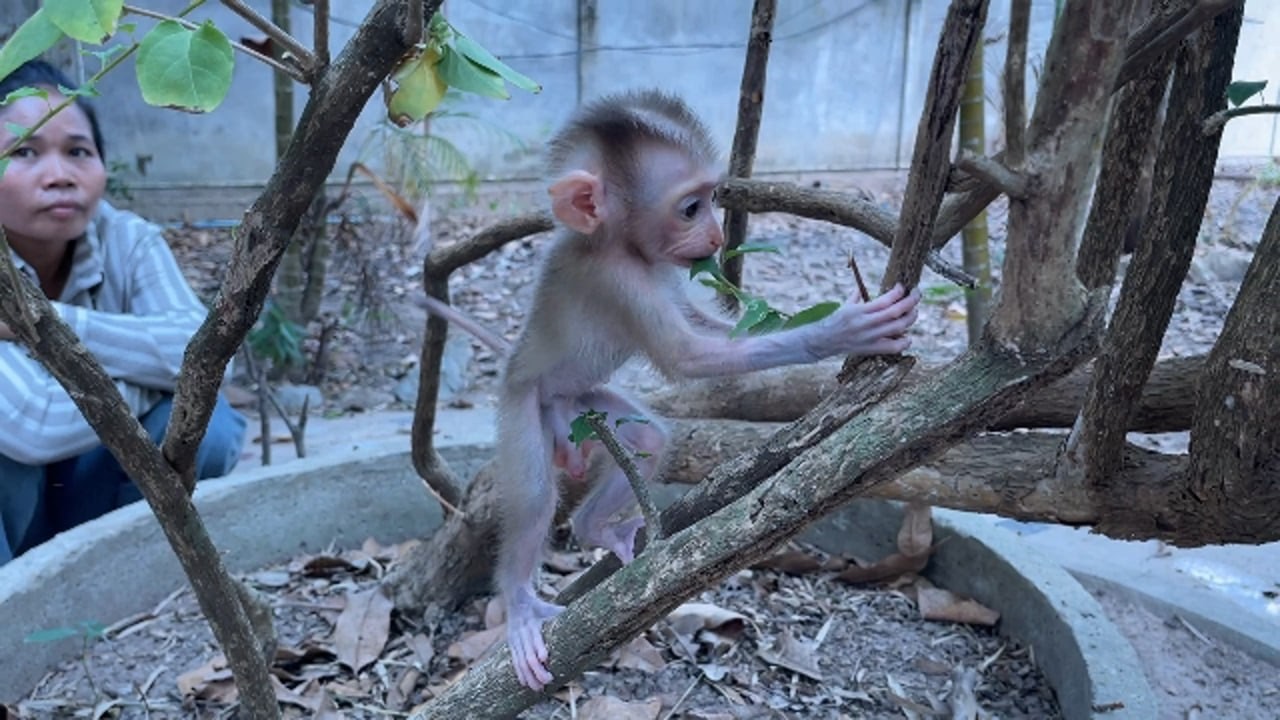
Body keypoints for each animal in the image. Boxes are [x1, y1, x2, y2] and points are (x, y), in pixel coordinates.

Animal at [420, 90, 921, 691]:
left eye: (712, 199)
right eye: (689, 208)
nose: (718, 238)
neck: (620, 246)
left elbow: (713, 330)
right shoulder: (620, 283)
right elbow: (688, 357)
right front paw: (840, 331)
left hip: (583, 405)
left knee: (648, 440)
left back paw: (594, 527)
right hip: (523, 403)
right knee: (538, 494)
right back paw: (519, 606)